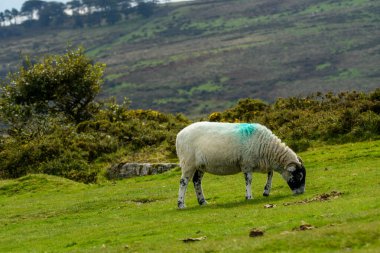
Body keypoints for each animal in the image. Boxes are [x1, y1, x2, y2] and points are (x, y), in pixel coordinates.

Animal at [176, 121, 306, 209]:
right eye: (299, 175)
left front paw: (266, 191)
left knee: (196, 181)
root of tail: (179, 134)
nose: (301, 193)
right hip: (188, 162)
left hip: (200, 166)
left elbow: (271, 173)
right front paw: (249, 197)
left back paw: (202, 202)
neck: (268, 149)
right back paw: (181, 204)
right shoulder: (246, 164)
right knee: (183, 182)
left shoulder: (262, 163)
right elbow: (249, 180)